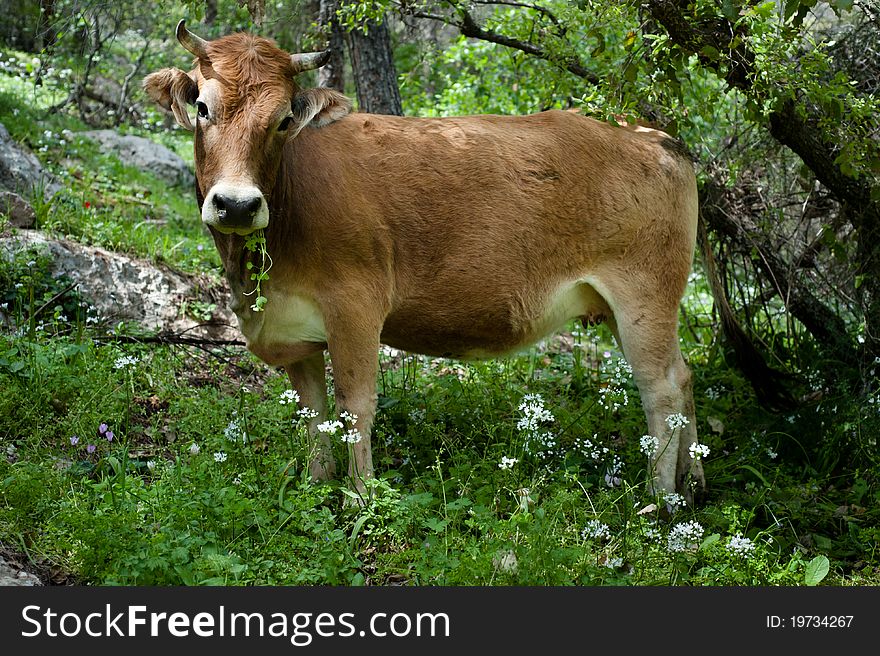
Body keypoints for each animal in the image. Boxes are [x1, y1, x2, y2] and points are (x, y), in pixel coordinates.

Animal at [146, 20, 708, 502]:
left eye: (283, 120)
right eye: (202, 107)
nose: (237, 204)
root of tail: (653, 134)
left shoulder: (355, 307)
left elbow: (355, 406)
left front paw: (362, 497)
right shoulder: (293, 327)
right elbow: (313, 413)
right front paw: (316, 484)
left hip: (644, 293)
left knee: (660, 389)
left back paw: (659, 500)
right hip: (625, 305)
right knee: (682, 376)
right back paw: (694, 481)